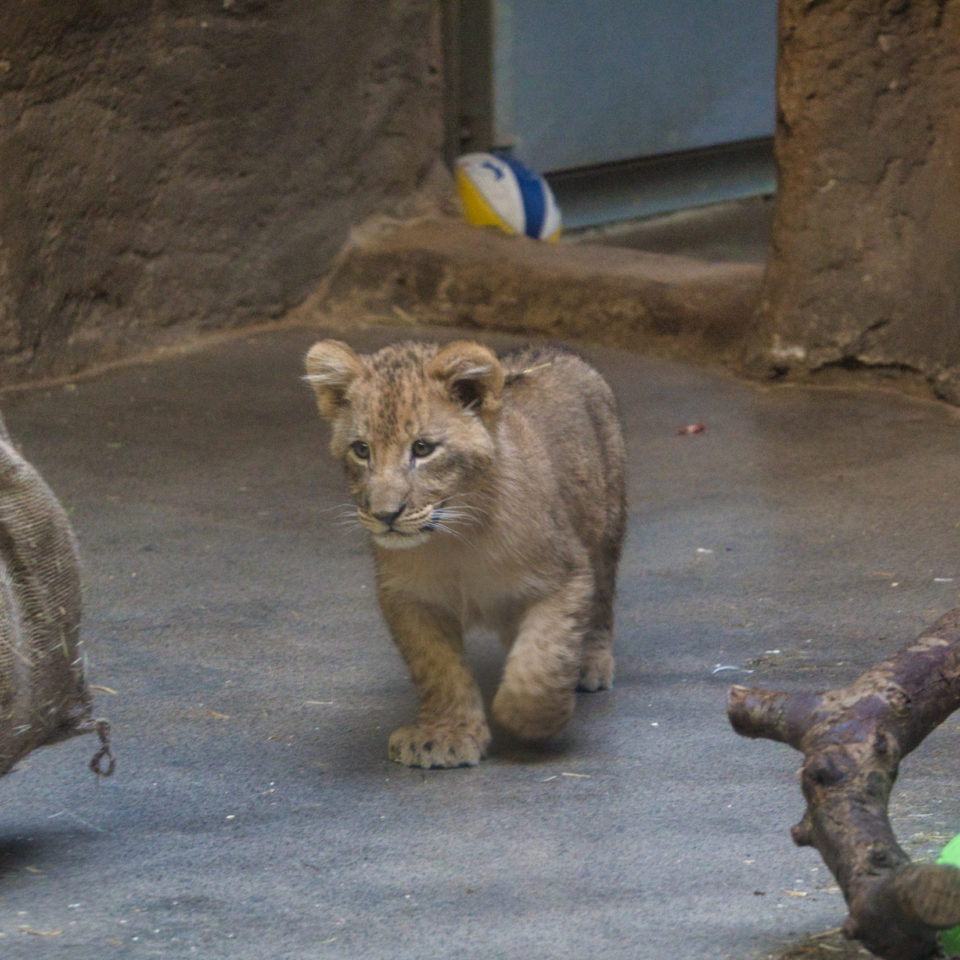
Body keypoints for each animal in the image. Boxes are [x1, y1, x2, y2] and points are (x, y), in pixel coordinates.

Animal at [304, 338, 626, 768]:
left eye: (422, 448)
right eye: (361, 450)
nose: (385, 515)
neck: (456, 539)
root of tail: (552, 347)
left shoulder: (566, 574)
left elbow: (543, 658)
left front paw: (528, 717)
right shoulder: (408, 597)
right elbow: (437, 668)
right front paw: (445, 736)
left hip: (607, 526)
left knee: (602, 602)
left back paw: (590, 664)